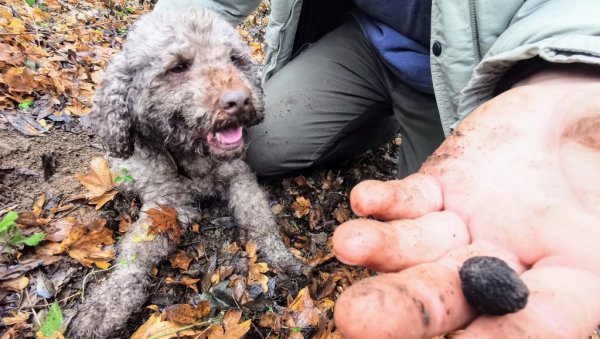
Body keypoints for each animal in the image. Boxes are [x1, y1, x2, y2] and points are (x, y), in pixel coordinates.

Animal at [68, 9, 308, 338]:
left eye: (234, 59)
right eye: (178, 67)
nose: (239, 100)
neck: (193, 156)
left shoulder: (239, 177)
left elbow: (260, 219)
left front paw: (280, 255)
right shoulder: (167, 203)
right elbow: (136, 254)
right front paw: (108, 302)